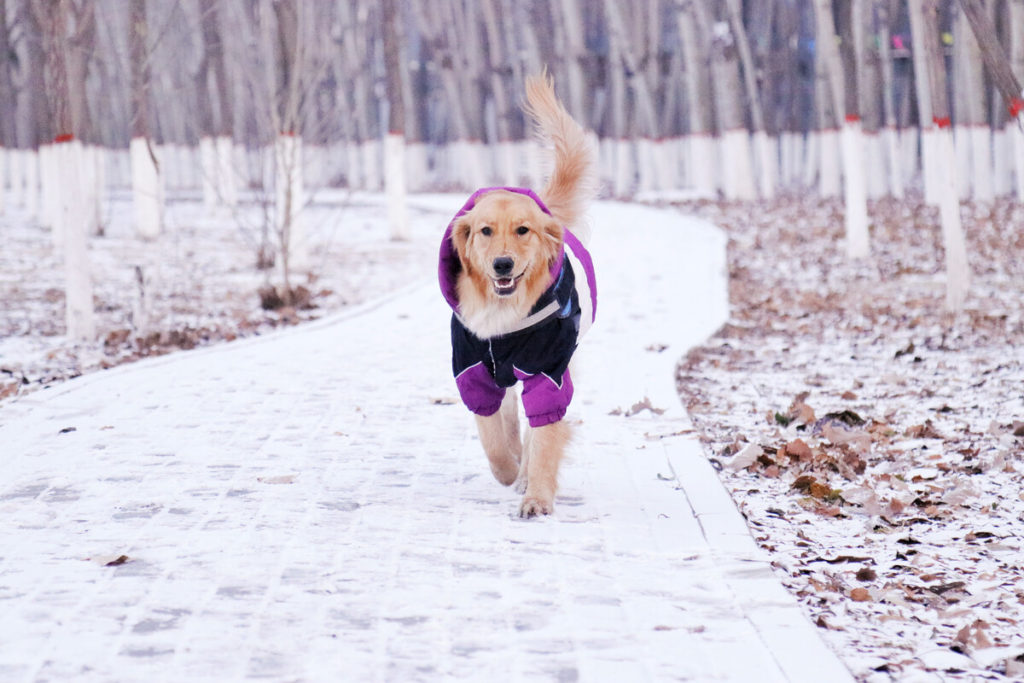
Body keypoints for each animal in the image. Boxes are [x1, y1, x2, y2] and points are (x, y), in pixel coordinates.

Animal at [436, 73, 598, 518]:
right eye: (486, 231)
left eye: (523, 230)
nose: (503, 265)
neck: (503, 314)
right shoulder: (473, 368)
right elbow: (493, 436)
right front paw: (507, 471)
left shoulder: (549, 370)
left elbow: (543, 437)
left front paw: (536, 495)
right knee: (509, 418)